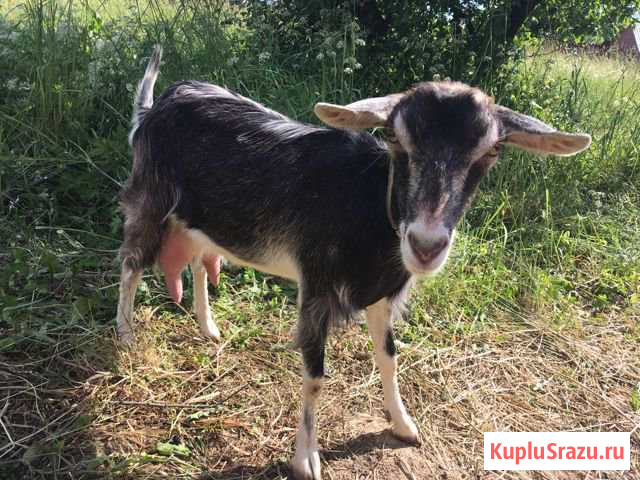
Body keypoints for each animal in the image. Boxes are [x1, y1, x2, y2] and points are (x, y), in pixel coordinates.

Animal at [116, 46, 591, 480]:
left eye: (490, 152)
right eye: (396, 139)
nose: (425, 245)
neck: (369, 205)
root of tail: (155, 106)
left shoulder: (380, 294)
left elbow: (389, 355)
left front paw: (403, 424)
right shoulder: (316, 286)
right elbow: (315, 374)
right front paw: (306, 459)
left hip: (200, 216)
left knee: (198, 260)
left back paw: (208, 326)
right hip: (149, 197)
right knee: (131, 262)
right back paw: (125, 333)